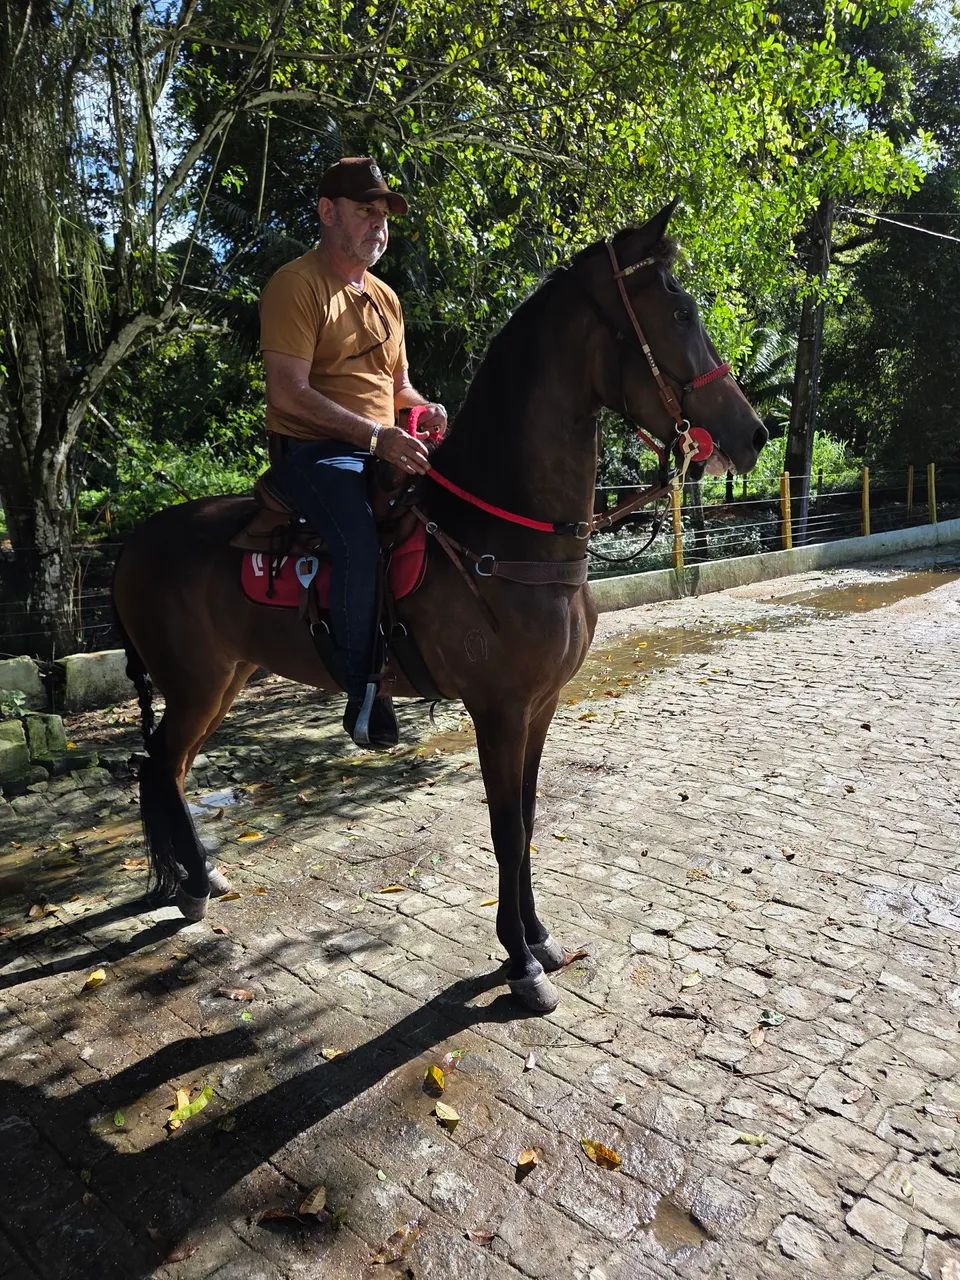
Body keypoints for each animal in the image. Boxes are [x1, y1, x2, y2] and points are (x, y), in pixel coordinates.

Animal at [112, 200, 767, 1014]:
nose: (752, 434)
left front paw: (539, 937)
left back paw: (198, 879)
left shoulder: (540, 706)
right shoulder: (498, 709)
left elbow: (527, 819)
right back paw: (193, 885)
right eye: (679, 311)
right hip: (196, 684)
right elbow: (505, 826)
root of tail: (133, 543)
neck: (500, 532)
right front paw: (519, 962)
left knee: (167, 770)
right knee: (158, 767)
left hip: (222, 680)